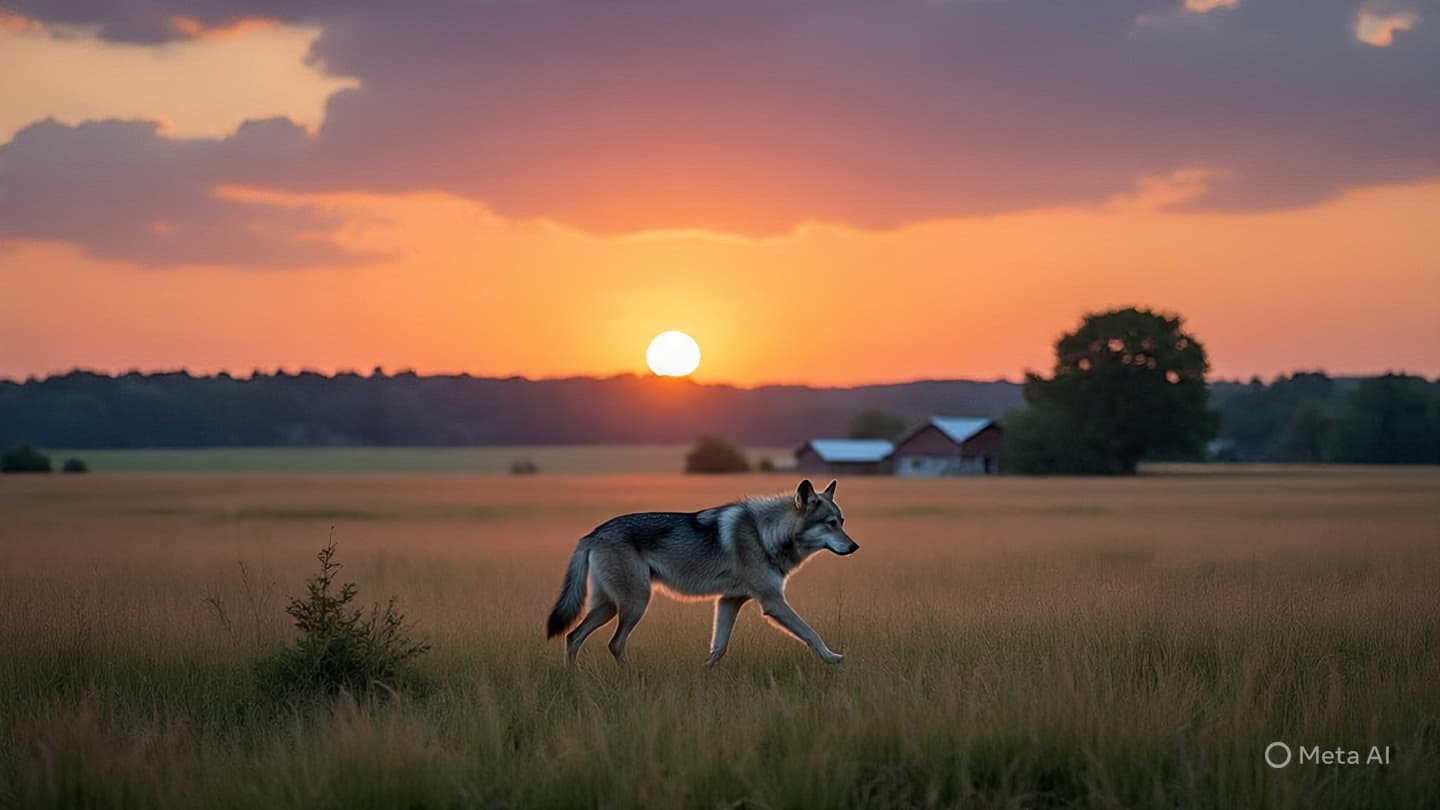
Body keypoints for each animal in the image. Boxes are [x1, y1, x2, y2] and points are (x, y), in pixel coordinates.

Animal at [545, 479, 859, 666]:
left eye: (842, 521)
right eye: (830, 523)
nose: (855, 546)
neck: (763, 534)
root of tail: (592, 534)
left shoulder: (729, 601)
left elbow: (718, 648)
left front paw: (704, 673)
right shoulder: (772, 602)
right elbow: (810, 633)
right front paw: (833, 658)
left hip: (609, 606)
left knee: (573, 637)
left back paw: (573, 679)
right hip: (635, 604)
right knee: (614, 643)